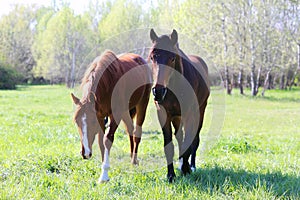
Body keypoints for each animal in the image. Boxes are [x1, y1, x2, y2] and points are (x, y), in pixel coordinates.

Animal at [71, 50, 151, 183]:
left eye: (92, 122)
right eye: (76, 122)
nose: (85, 153)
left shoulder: (115, 115)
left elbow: (107, 140)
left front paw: (104, 175)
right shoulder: (100, 116)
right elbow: (100, 142)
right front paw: (104, 171)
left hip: (142, 104)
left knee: (137, 133)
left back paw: (134, 161)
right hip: (126, 111)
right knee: (130, 130)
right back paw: (131, 158)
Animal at [149, 28, 210, 182]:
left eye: (172, 58)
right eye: (152, 57)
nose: (158, 91)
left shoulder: (190, 115)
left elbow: (189, 142)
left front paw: (186, 169)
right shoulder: (163, 114)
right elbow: (169, 146)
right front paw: (171, 175)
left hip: (200, 112)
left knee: (194, 139)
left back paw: (191, 165)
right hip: (177, 117)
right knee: (179, 137)